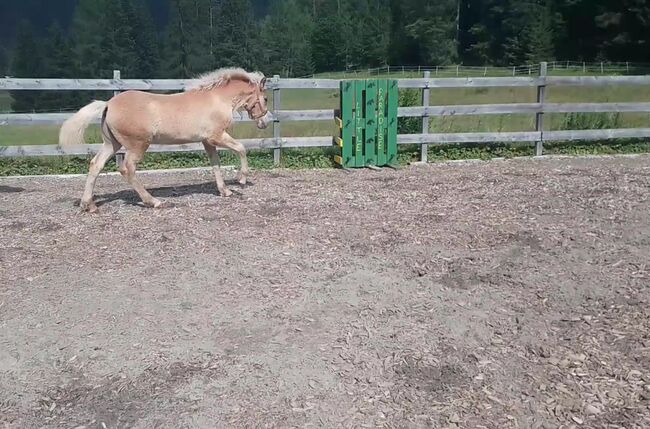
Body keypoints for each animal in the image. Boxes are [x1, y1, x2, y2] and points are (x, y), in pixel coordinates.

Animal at [59, 66, 270, 211]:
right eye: (266, 99)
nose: (265, 122)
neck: (217, 100)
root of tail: (108, 104)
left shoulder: (207, 142)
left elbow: (215, 164)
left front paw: (225, 191)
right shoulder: (216, 136)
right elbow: (241, 148)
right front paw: (241, 180)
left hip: (112, 144)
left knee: (96, 165)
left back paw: (89, 205)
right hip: (137, 145)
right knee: (127, 169)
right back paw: (153, 201)